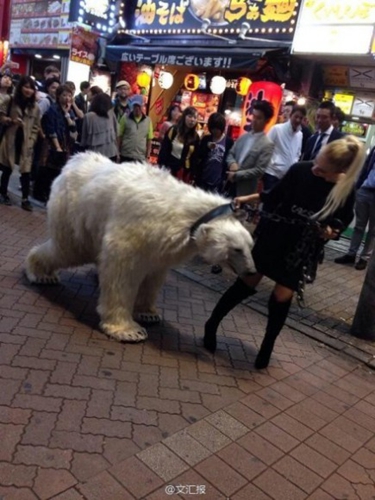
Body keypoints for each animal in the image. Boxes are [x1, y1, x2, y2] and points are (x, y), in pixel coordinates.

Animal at [25, 152, 258, 344]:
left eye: (251, 247)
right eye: (237, 249)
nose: (251, 271)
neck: (186, 214)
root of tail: (72, 161)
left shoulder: (162, 244)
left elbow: (153, 274)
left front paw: (148, 313)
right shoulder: (138, 230)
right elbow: (122, 272)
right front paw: (129, 330)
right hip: (74, 213)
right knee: (68, 249)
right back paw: (42, 274)